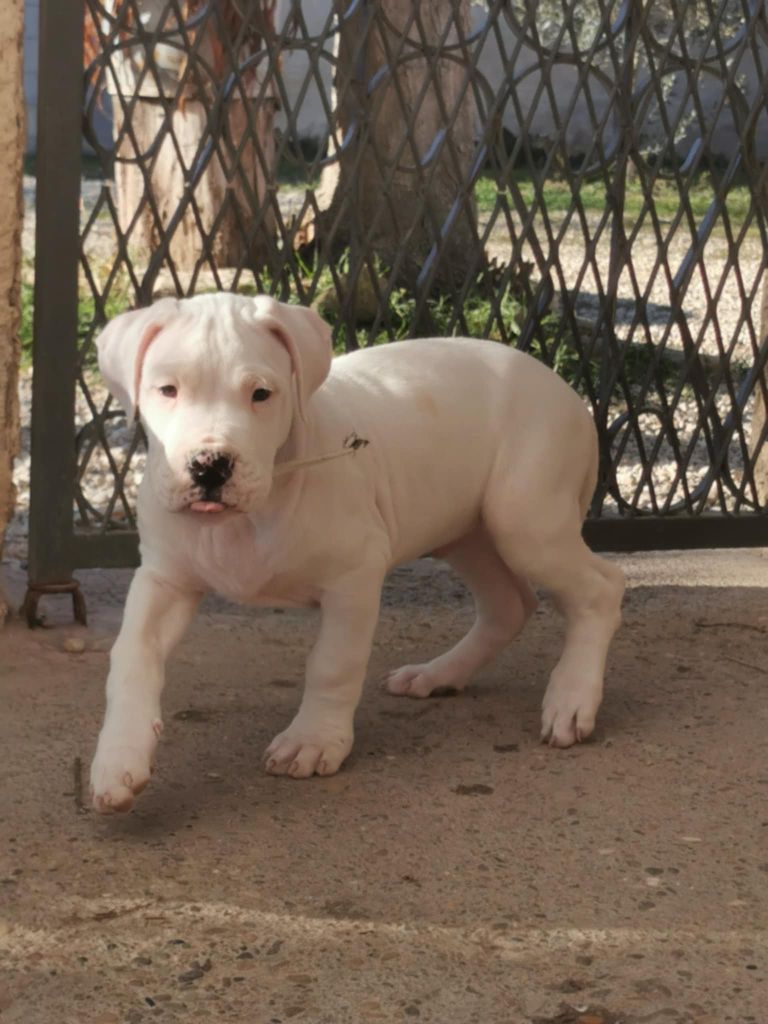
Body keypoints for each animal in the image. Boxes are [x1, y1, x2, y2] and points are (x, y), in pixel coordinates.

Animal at [90, 292, 626, 811]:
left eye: (261, 394)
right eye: (167, 390)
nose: (210, 465)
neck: (246, 519)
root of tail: (563, 389)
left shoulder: (352, 578)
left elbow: (333, 664)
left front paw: (312, 741)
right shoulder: (163, 580)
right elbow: (131, 657)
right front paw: (117, 760)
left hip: (525, 519)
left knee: (600, 588)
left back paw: (571, 698)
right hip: (465, 533)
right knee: (507, 605)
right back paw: (437, 675)